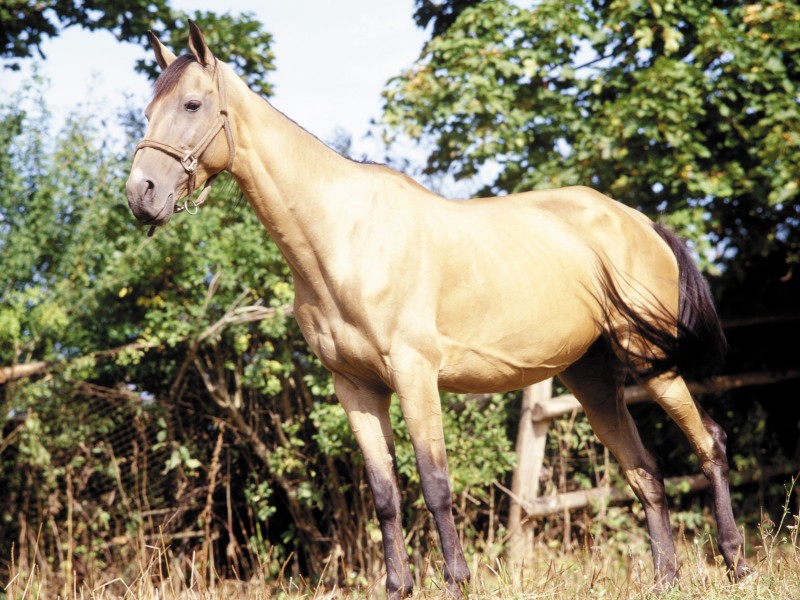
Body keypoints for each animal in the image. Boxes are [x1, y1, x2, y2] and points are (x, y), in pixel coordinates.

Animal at [125, 22, 748, 598]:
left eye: (191, 104)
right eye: (148, 110)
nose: (141, 195)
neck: (344, 236)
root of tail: (640, 222)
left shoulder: (414, 374)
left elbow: (435, 483)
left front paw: (456, 581)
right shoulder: (355, 387)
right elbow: (385, 494)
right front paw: (397, 586)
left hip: (652, 363)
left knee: (709, 443)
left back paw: (736, 563)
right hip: (592, 377)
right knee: (645, 473)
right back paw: (665, 579)